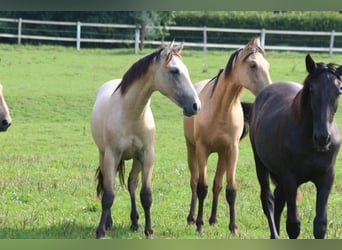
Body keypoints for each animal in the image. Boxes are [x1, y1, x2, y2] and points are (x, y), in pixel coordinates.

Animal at [92, 41, 202, 238]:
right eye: (174, 71)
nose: (196, 106)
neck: (130, 114)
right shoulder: (112, 155)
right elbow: (109, 195)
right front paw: (100, 231)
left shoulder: (147, 155)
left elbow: (146, 195)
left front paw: (148, 230)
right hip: (103, 154)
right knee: (107, 185)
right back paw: (109, 222)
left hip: (136, 159)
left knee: (132, 184)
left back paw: (135, 222)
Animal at [183, 37, 272, 234]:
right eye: (253, 65)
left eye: (267, 65)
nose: (270, 90)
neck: (220, 110)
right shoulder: (202, 150)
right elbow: (201, 188)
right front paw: (199, 225)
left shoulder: (232, 151)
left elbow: (230, 190)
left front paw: (233, 227)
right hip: (191, 149)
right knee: (193, 182)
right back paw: (192, 218)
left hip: (222, 155)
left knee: (217, 185)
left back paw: (213, 219)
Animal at [248, 54, 342, 238]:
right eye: (311, 89)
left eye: (339, 90)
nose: (322, 138)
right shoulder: (290, 178)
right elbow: (293, 225)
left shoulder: (326, 178)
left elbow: (320, 224)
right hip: (260, 164)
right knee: (268, 199)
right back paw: (274, 235)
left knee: (278, 198)